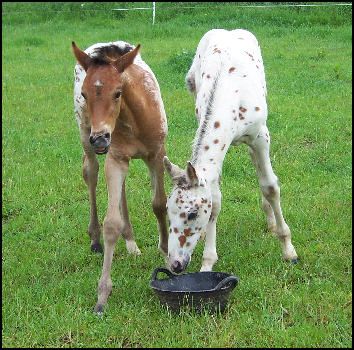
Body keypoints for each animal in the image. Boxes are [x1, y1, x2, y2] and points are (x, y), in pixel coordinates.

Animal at [72, 40, 169, 312]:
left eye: (117, 92)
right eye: (84, 94)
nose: (100, 138)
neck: (133, 119)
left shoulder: (156, 155)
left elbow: (159, 204)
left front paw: (167, 253)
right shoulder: (114, 159)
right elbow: (111, 223)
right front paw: (102, 296)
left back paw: (132, 243)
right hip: (87, 136)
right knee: (90, 172)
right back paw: (96, 239)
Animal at [163, 29, 298, 274]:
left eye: (192, 213)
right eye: (168, 211)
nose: (176, 264)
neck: (232, 96)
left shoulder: (261, 137)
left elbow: (270, 186)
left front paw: (288, 250)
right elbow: (215, 200)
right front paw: (207, 263)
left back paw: (272, 223)